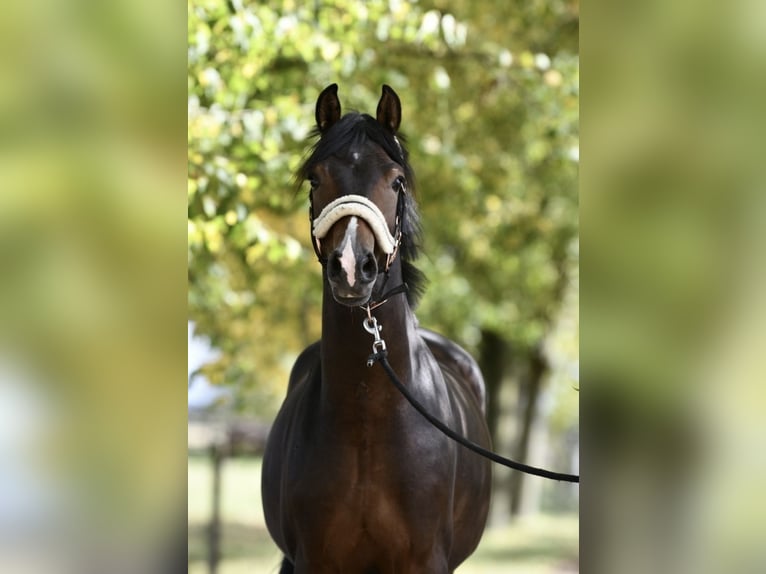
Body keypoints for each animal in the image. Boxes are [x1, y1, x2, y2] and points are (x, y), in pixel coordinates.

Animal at [262, 83, 492, 572]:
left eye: (396, 180)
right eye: (316, 179)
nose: (352, 268)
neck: (368, 423)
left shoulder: (426, 562)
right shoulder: (313, 560)